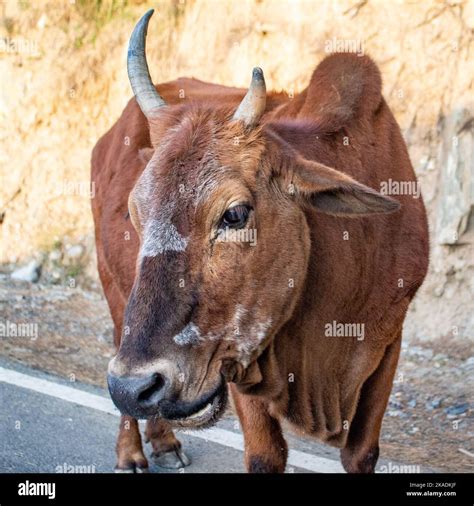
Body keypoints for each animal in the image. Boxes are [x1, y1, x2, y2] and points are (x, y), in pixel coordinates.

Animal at [90, 9, 428, 472]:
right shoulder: (239, 358)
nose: (132, 385)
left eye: (234, 214)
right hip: (112, 289)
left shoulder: (389, 342)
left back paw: (163, 442)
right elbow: (266, 455)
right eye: (135, 212)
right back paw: (132, 452)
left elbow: (361, 453)